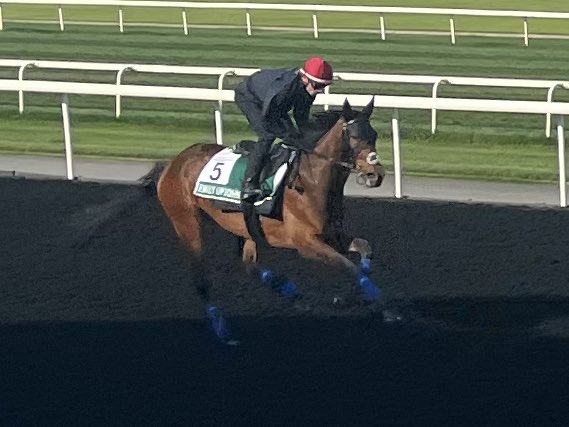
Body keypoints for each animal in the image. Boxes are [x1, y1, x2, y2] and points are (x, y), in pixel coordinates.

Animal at [158, 98, 384, 344]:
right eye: (354, 136)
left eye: (374, 135)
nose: (376, 174)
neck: (312, 182)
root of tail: (174, 162)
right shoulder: (306, 244)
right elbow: (349, 267)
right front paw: (378, 300)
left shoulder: (333, 235)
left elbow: (365, 249)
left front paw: (369, 293)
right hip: (186, 221)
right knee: (201, 280)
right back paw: (222, 330)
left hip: (246, 227)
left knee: (249, 265)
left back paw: (290, 291)